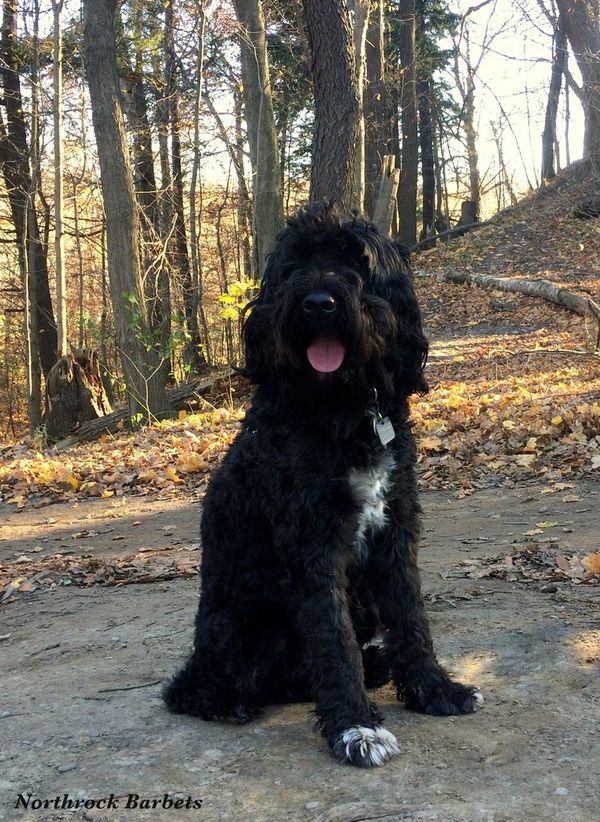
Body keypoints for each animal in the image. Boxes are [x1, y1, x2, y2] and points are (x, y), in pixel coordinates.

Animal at [164, 203, 482, 768]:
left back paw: (377, 668)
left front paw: (435, 690)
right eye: (294, 265)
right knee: (206, 686)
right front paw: (356, 727)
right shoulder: (314, 541)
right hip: (245, 626)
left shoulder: (395, 528)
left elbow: (411, 617)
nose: (318, 303)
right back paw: (231, 702)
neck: (341, 410)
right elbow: (334, 642)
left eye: (355, 260)